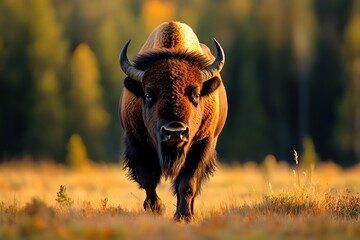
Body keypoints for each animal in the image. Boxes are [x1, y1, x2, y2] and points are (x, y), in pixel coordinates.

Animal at [120, 21, 228, 221]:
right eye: (148, 94)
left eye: (196, 93)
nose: (175, 132)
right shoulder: (134, 140)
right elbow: (147, 178)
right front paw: (156, 208)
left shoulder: (203, 143)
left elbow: (187, 184)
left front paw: (183, 216)